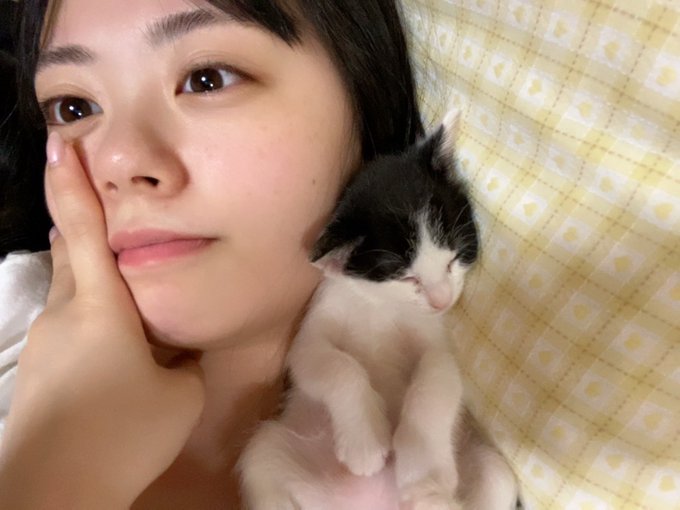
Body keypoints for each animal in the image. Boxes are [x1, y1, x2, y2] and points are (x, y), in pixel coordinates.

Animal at [239, 110, 519, 510]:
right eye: (406, 277)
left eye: (454, 258)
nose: (442, 299)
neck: (380, 305)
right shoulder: (310, 335)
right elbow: (333, 365)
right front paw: (365, 445)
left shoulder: (436, 340)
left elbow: (439, 375)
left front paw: (423, 469)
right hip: (265, 454)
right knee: (260, 464)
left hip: (494, 474)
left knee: (497, 476)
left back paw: (430, 498)